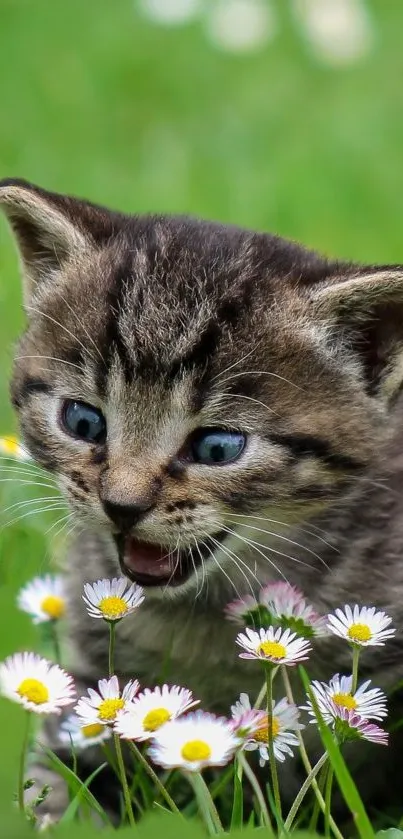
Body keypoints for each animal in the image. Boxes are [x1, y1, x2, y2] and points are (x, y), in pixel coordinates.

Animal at [0, 179, 403, 828]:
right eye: (83, 421)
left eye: (218, 447)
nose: (121, 504)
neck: (202, 617)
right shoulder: (89, 690)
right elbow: (62, 785)